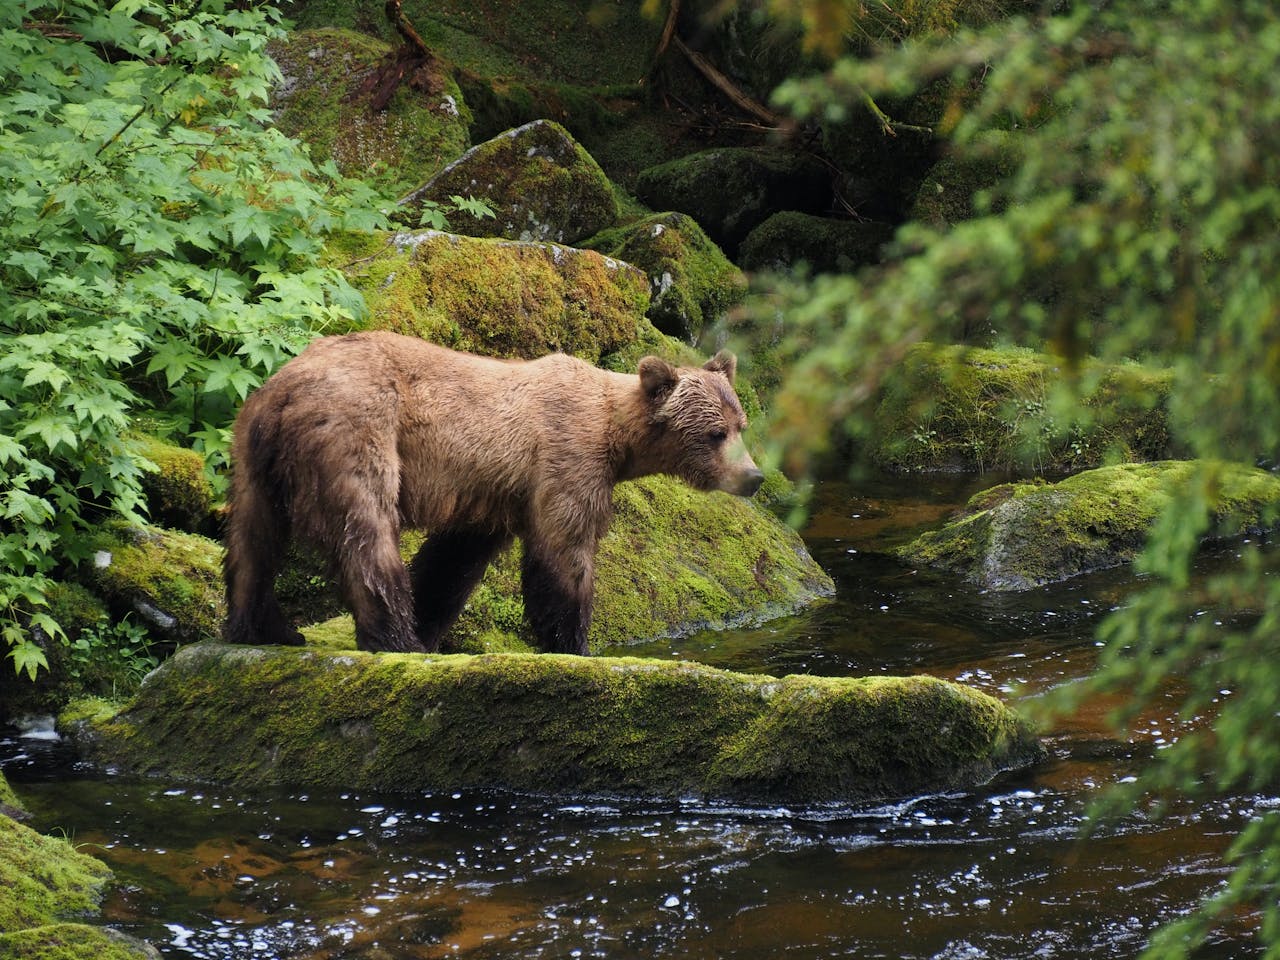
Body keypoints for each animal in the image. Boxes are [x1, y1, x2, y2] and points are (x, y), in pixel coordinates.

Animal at [222, 331, 764, 656]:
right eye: (715, 433)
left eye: (741, 424)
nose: (754, 476)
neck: (616, 435)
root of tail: (285, 389)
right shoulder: (566, 459)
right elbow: (564, 551)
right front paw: (573, 642)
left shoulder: (493, 492)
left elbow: (452, 561)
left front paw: (431, 619)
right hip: (358, 428)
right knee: (367, 531)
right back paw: (396, 638)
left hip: (253, 452)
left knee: (252, 540)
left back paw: (262, 627)